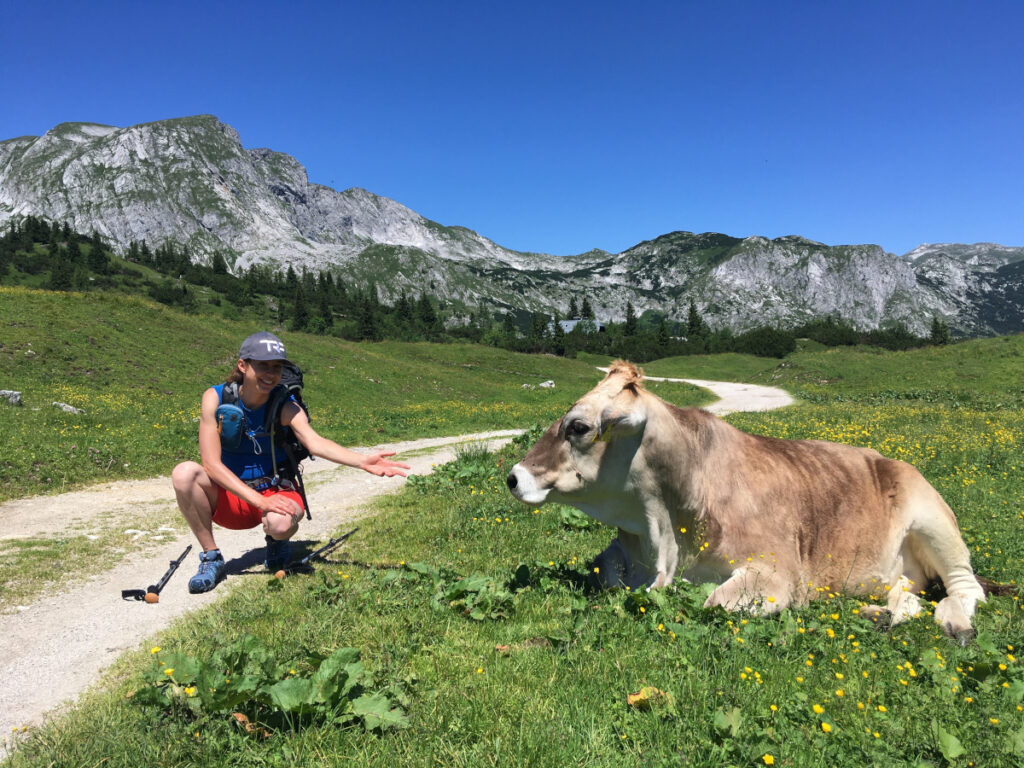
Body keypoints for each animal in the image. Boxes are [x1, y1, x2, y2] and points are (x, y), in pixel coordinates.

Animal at [512, 360, 991, 643]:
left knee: (968, 588)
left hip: (934, 521)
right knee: (907, 593)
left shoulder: (777, 571)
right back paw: (881, 612)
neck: (664, 536)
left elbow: (714, 602)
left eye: (577, 426)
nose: (513, 476)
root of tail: (890, 459)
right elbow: (605, 569)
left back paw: (954, 621)